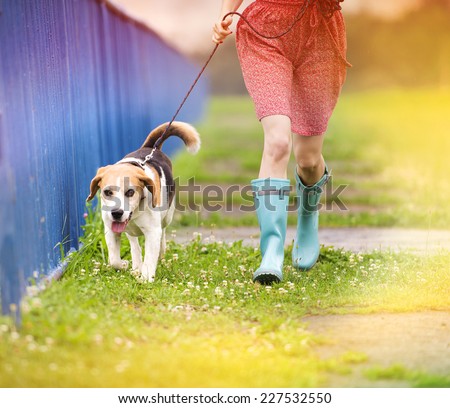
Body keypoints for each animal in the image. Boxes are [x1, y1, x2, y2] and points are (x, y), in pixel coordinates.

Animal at [87, 120, 200, 280]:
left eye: (130, 192)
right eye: (107, 192)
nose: (116, 213)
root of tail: (151, 148)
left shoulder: (152, 231)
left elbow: (150, 258)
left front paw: (145, 278)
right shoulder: (111, 229)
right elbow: (114, 260)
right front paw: (124, 265)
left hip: (167, 217)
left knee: (162, 233)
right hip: (130, 230)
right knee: (134, 244)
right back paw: (136, 264)